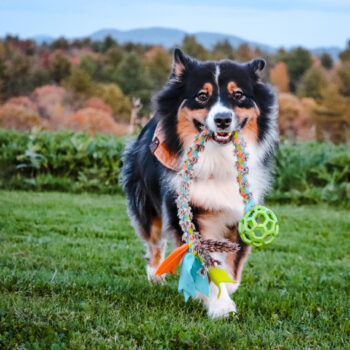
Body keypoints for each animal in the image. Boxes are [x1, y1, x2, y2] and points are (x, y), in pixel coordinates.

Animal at [121, 49, 278, 320]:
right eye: (202, 96)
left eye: (238, 95)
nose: (223, 119)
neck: (216, 160)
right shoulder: (187, 209)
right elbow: (206, 261)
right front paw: (220, 306)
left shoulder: (239, 212)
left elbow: (233, 264)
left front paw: (224, 288)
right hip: (146, 203)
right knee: (154, 241)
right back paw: (155, 275)